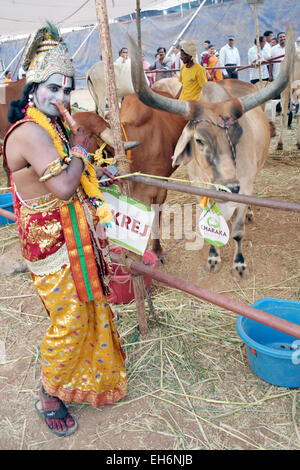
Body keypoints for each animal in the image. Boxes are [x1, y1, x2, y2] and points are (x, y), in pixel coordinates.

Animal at [127, 26, 294, 280]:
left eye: (238, 134)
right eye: (199, 140)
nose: (229, 187)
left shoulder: (245, 187)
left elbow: (237, 231)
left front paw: (239, 264)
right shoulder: (198, 188)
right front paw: (213, 258)